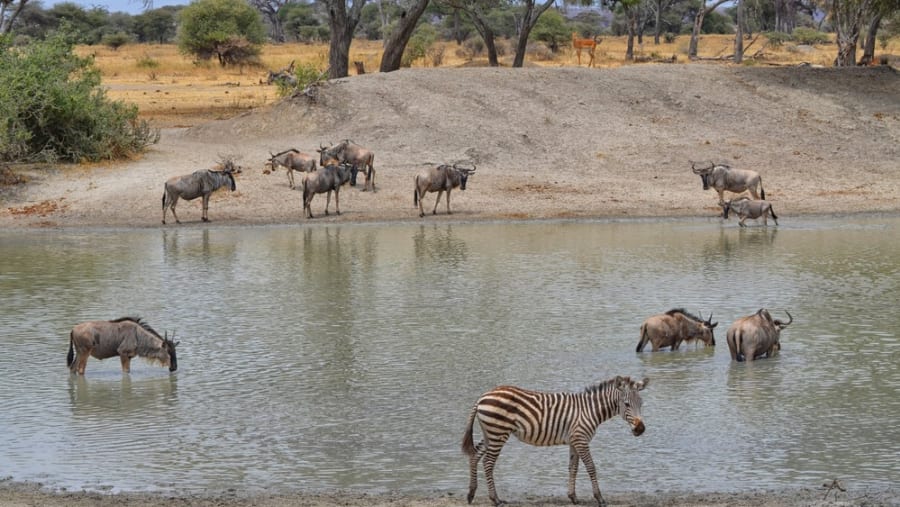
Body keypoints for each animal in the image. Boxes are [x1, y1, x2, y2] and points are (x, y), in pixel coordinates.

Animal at [461, 375, 649, 507]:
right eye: (626, 404)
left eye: (641, 403)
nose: (640, 429)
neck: (589, 410)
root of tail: (482, 397)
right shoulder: (581, 439)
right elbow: (591, 467)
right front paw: (600, 498)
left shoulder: (574, 441)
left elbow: (573, 468)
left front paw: (573, 497)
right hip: (498, 433)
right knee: (488, 462)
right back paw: (496, 499)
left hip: (490, 433)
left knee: (475, 455)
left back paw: (471, 494)